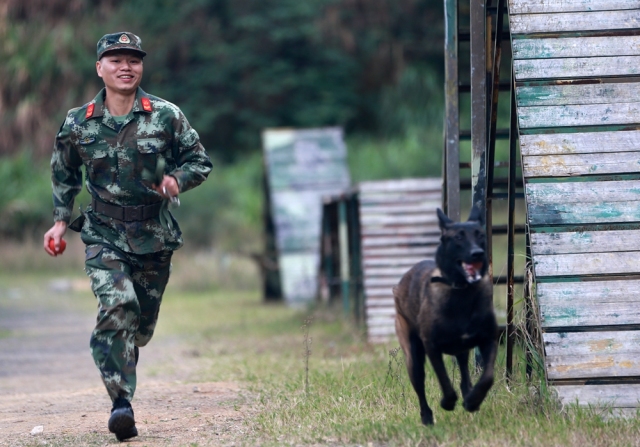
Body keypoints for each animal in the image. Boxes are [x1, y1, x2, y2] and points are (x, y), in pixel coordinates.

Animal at [392, 206, 498, 428]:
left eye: (480, 235)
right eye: (458, 237)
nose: (477, 253)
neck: (462, 291)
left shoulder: (488, 339)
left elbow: (488, 377)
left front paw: (473, 401)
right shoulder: (432, 346)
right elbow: (444, 380)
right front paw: (448, 402)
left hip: (462, 350)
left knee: (464, 370)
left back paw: (468, 394)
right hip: (413, 356)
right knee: (420, 385)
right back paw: (427, 417)